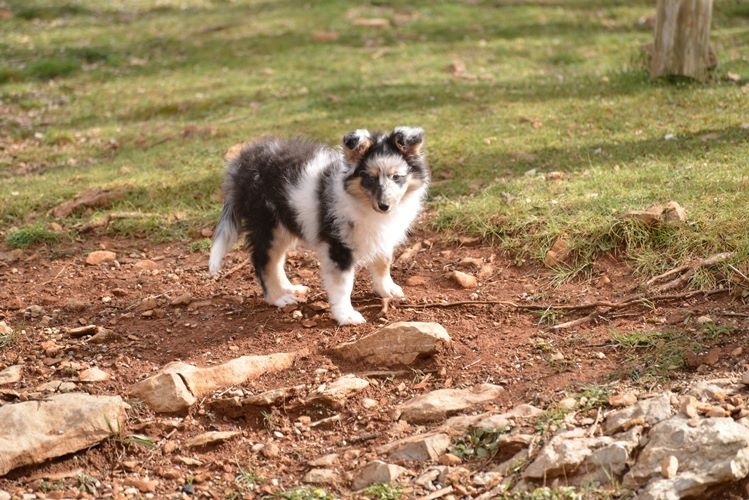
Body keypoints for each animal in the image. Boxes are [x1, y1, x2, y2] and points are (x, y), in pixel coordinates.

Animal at [207, 127, 430, 326]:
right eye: (370, 178)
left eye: (397, 177)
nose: (384, 206)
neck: (362, 203)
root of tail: (244, 161)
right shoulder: (338, 245)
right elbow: (343, 285)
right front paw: (346, 316)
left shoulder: (381, 235)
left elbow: (383, 263)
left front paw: (388, 290)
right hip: (267, 224)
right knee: (263, 261)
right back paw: (278, 298)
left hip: (284, 226)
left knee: (276, 260)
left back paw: (289, 289)